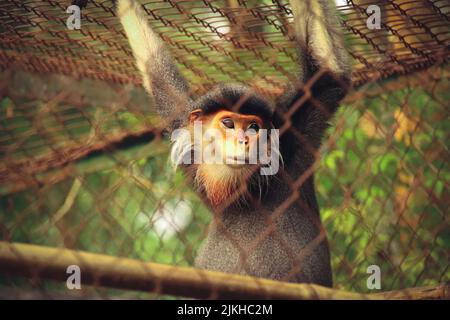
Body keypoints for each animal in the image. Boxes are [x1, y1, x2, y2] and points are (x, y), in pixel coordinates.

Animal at [116, 0, 352, 284]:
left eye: (253, 127)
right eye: (228, 124)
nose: (243, 141)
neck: (245, 189)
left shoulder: (295, 135)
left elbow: (327, 68)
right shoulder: (187, 138)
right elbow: (158, 72)